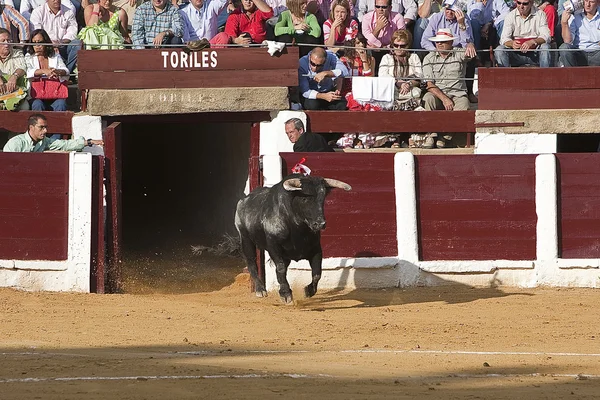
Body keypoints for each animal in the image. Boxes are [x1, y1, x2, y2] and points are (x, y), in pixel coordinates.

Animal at [232, 175, 350, 304]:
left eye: (322, 198)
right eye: (304, 199)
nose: (320, 224)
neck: (297, 228)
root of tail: (242, 201)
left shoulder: (316, 249)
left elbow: (317, 273)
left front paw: (309, 291)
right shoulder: (274, 247)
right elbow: (280, 267)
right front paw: (285, 294)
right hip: (246, 239)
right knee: (251, 262)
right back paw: (260, 290)